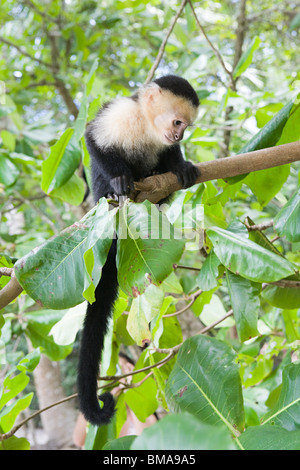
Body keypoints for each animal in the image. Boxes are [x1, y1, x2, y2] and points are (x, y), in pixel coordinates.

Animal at [78, 75, 199, 428]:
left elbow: (169, 154)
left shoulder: (163, 141)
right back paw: (118, 188)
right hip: (101, 200)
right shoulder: (121, 115)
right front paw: (120, 176)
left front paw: (181, 165)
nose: (179, 135)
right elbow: (94, 139)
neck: (146, 125)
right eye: (178, 123)